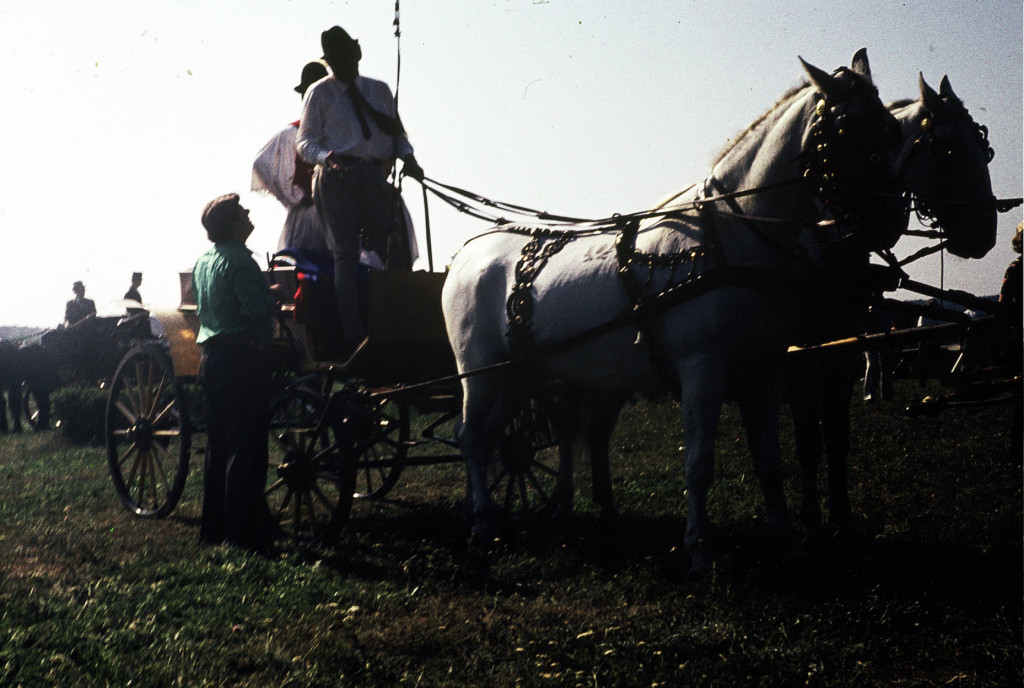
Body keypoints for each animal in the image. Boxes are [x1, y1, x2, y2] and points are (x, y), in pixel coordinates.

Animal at [440, 51, 905, 573]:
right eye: (848, 131)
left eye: (890, 130)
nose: (892, 219)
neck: (729, 238)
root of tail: (465, 254)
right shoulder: (702, 366)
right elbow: (698, 463)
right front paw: (699, 549)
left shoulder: (764, 368)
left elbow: (769, 461)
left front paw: (787, 540)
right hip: (478, 371)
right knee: (471, 438)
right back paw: (482, 524)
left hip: (517, 375)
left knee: (494, 439)